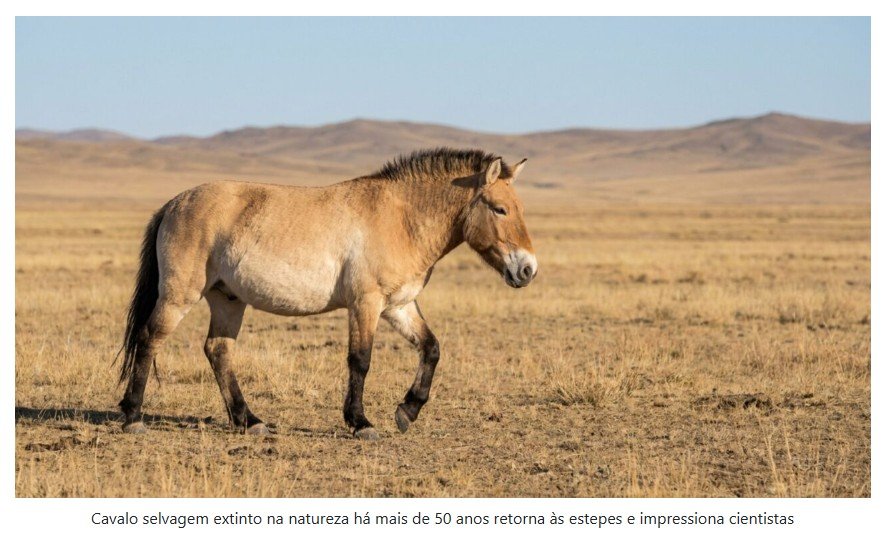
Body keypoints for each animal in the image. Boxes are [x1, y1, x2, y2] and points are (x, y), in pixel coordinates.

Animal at [118, 148, 537, 440]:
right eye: (500, 209)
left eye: (520, 208)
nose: (527, 269)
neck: (401, 218)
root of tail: (174, 203)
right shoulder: (365, 304)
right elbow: (360, 360)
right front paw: (361, 423)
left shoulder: (399, 306)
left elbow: (431, 348)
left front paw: (407, 411)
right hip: (179, 295)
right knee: (150, 338)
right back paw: (133, 416)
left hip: (227, 300)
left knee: (218, 351)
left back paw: (249, 421)